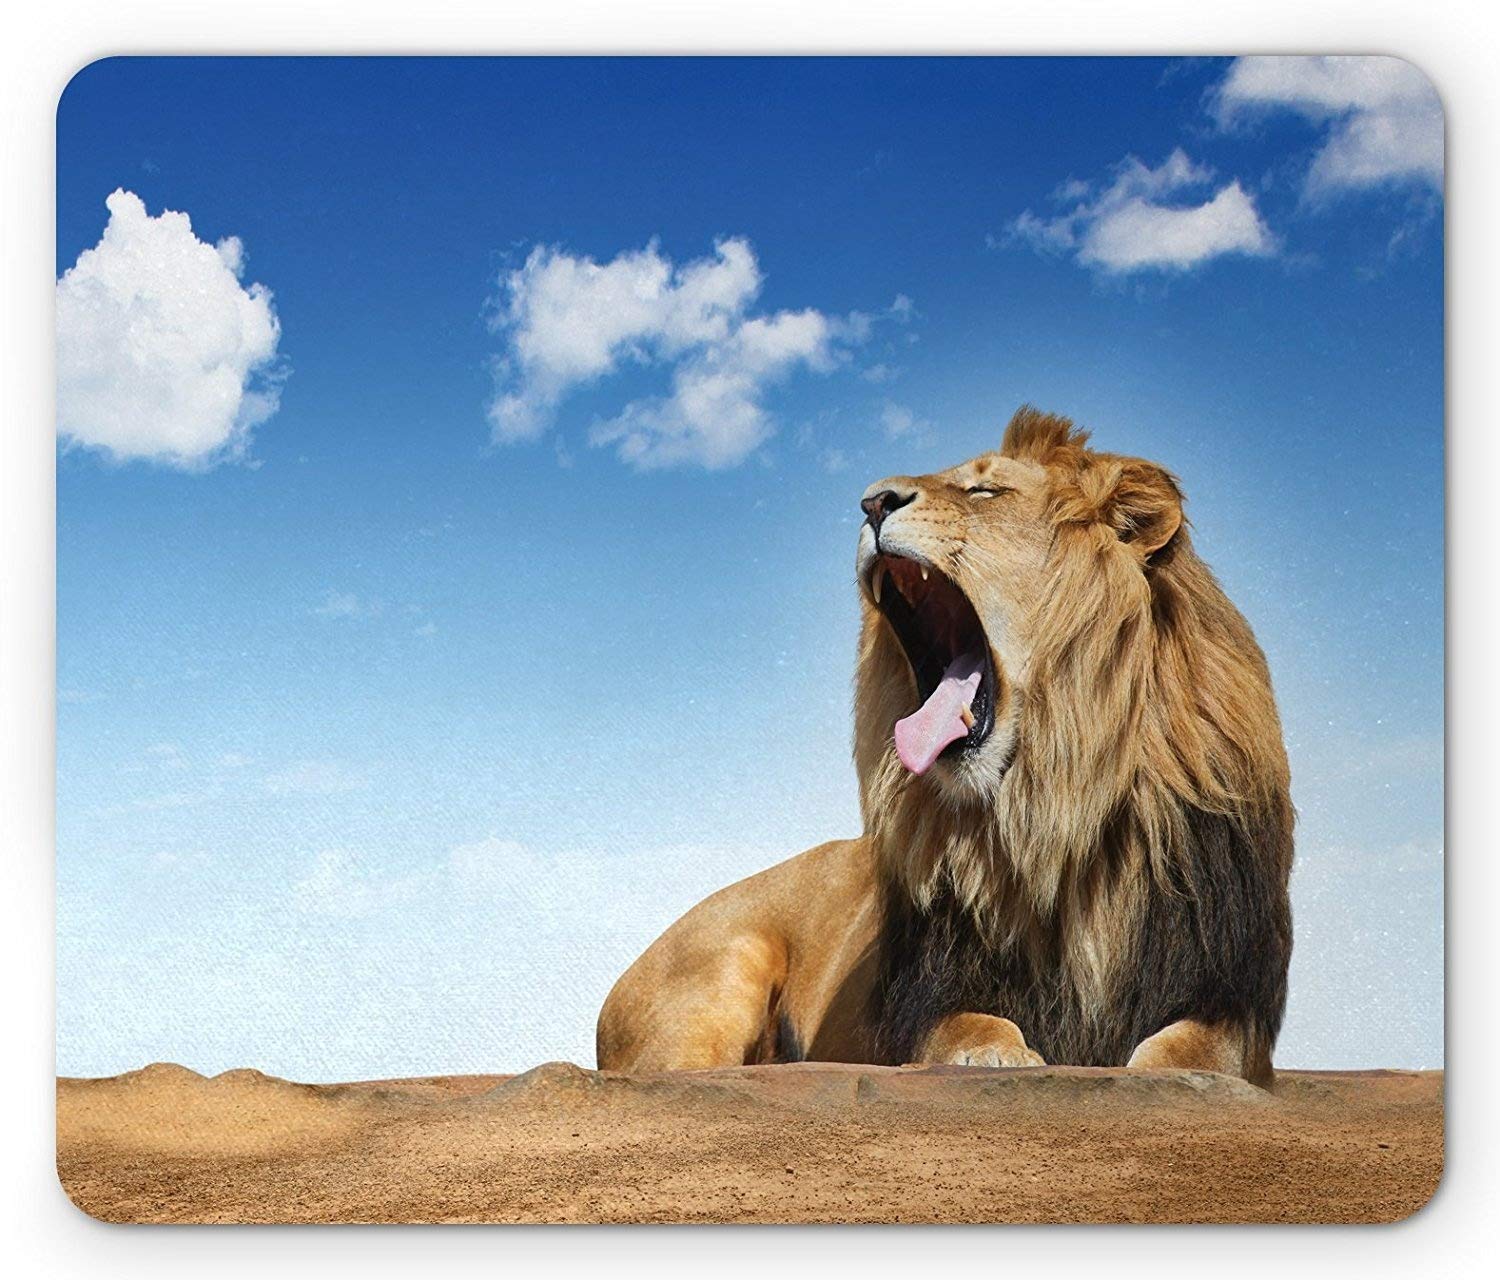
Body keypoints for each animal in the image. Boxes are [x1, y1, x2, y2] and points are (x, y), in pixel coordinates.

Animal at [596, 407, 1293, 1087]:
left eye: (985, 491)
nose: (873, 502)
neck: (1053, 819)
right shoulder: (928, 997)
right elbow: (966, 1027)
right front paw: (996, 1058)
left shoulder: (1225, 995)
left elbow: (1194, 1052)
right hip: (725, 967)